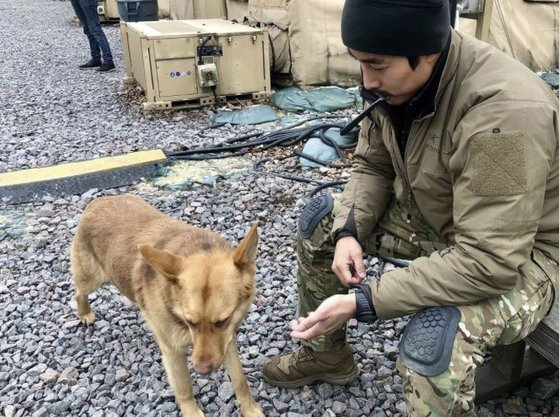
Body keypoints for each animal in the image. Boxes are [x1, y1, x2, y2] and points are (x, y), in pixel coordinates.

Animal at [71, 193, 264, 414]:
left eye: (222, 321)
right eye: (190, 322)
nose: (201, 369)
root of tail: (98, 201)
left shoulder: (227, 340)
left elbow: (240, 379)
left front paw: (249, 409)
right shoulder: (173, 351)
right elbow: (185, 388)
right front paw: (192, 413)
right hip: (91, 278)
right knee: (78, 292)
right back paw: (85, 313)